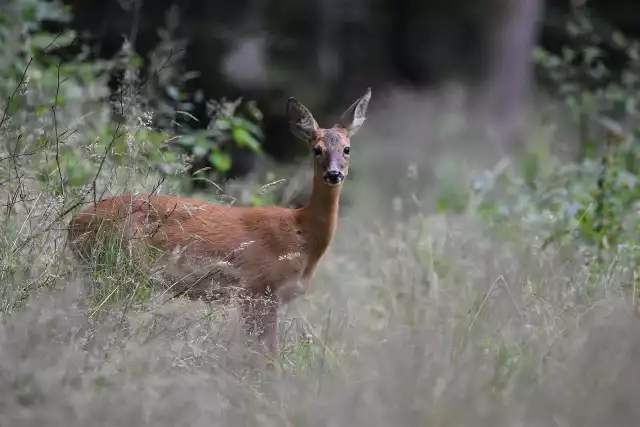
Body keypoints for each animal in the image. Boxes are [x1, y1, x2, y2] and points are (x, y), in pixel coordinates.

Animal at [66, 88, 370, 360]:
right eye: (317, 149)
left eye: (347, 149)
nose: (333, 174)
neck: (301, 233)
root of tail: (74, 223)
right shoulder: (258, 287)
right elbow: (268, 358)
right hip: (118, 267)